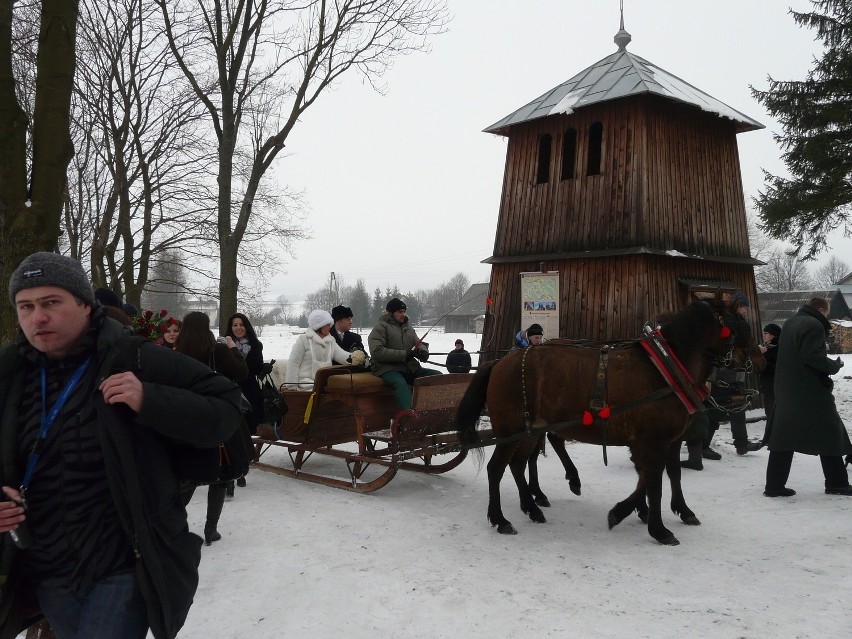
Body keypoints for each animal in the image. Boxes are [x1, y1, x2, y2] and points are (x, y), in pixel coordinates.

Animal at [456, 298, 764, 544]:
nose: (758, 360)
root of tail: (499, 362)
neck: (666, 369)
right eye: (737, 325)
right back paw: (500, 519)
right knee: (497, 469)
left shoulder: (667, 441)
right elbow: (653, 481)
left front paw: (665, 510)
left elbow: (666, 475)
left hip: (531, 430)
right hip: (513, 430)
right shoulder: (652, 441)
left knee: (519, 464)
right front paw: (657, 528)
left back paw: (532, 507)